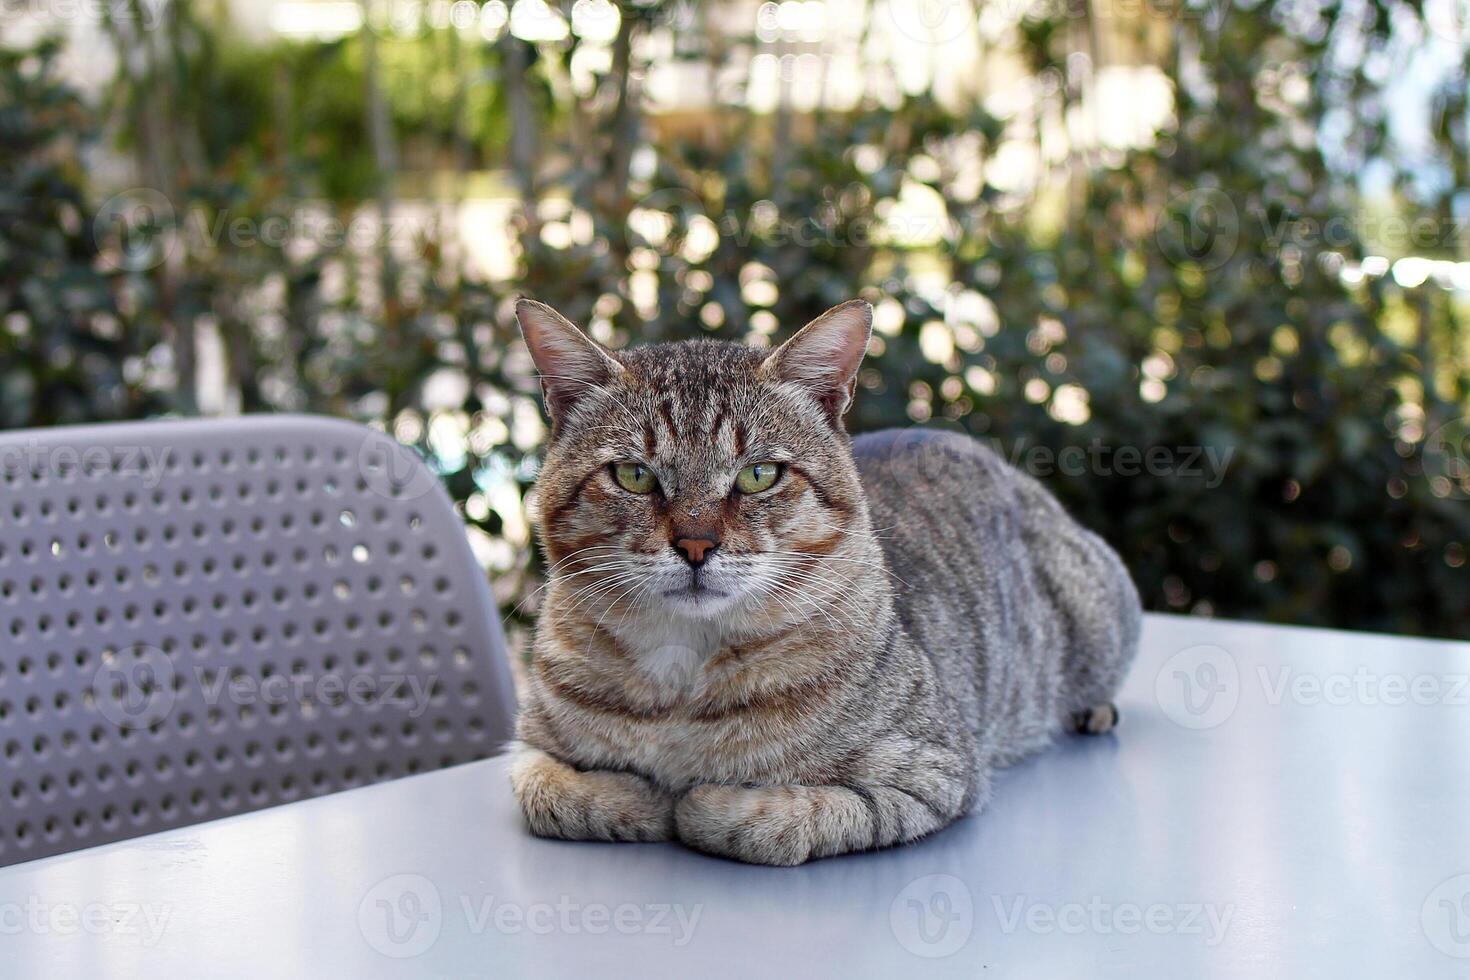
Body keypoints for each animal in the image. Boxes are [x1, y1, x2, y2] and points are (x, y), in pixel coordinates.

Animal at [511, 299, 1140, 863]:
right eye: (633, 475)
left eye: (759, 474)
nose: (695, 546)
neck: (683, 672)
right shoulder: (527, 745)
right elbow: (548, 794)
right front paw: (636, 797)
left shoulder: (934, 773)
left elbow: (768, 819)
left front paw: (692, 801)